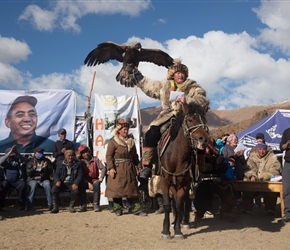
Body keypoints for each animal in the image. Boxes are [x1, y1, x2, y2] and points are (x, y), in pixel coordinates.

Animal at [159, 102, 208, 240]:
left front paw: (178, 231)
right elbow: (167, 205)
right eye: (190, 120)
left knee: (185, 201)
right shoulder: (165, 183)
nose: (203, 139)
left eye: (204, 120)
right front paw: (166, 231)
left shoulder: (184, 184)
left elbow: (180, 205)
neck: (175, 157)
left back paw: (184, 222)